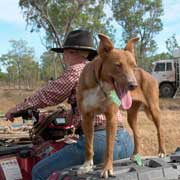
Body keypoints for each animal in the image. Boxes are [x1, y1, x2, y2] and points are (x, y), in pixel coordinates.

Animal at [76, 34, 139, 179]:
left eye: (134, 66)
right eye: (118, 65)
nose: (133, 85)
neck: (100, 86)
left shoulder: (111, 118)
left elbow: (109, 147)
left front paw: (107, 168)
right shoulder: (87, 117)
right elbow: (88, 145)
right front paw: (87, 165)